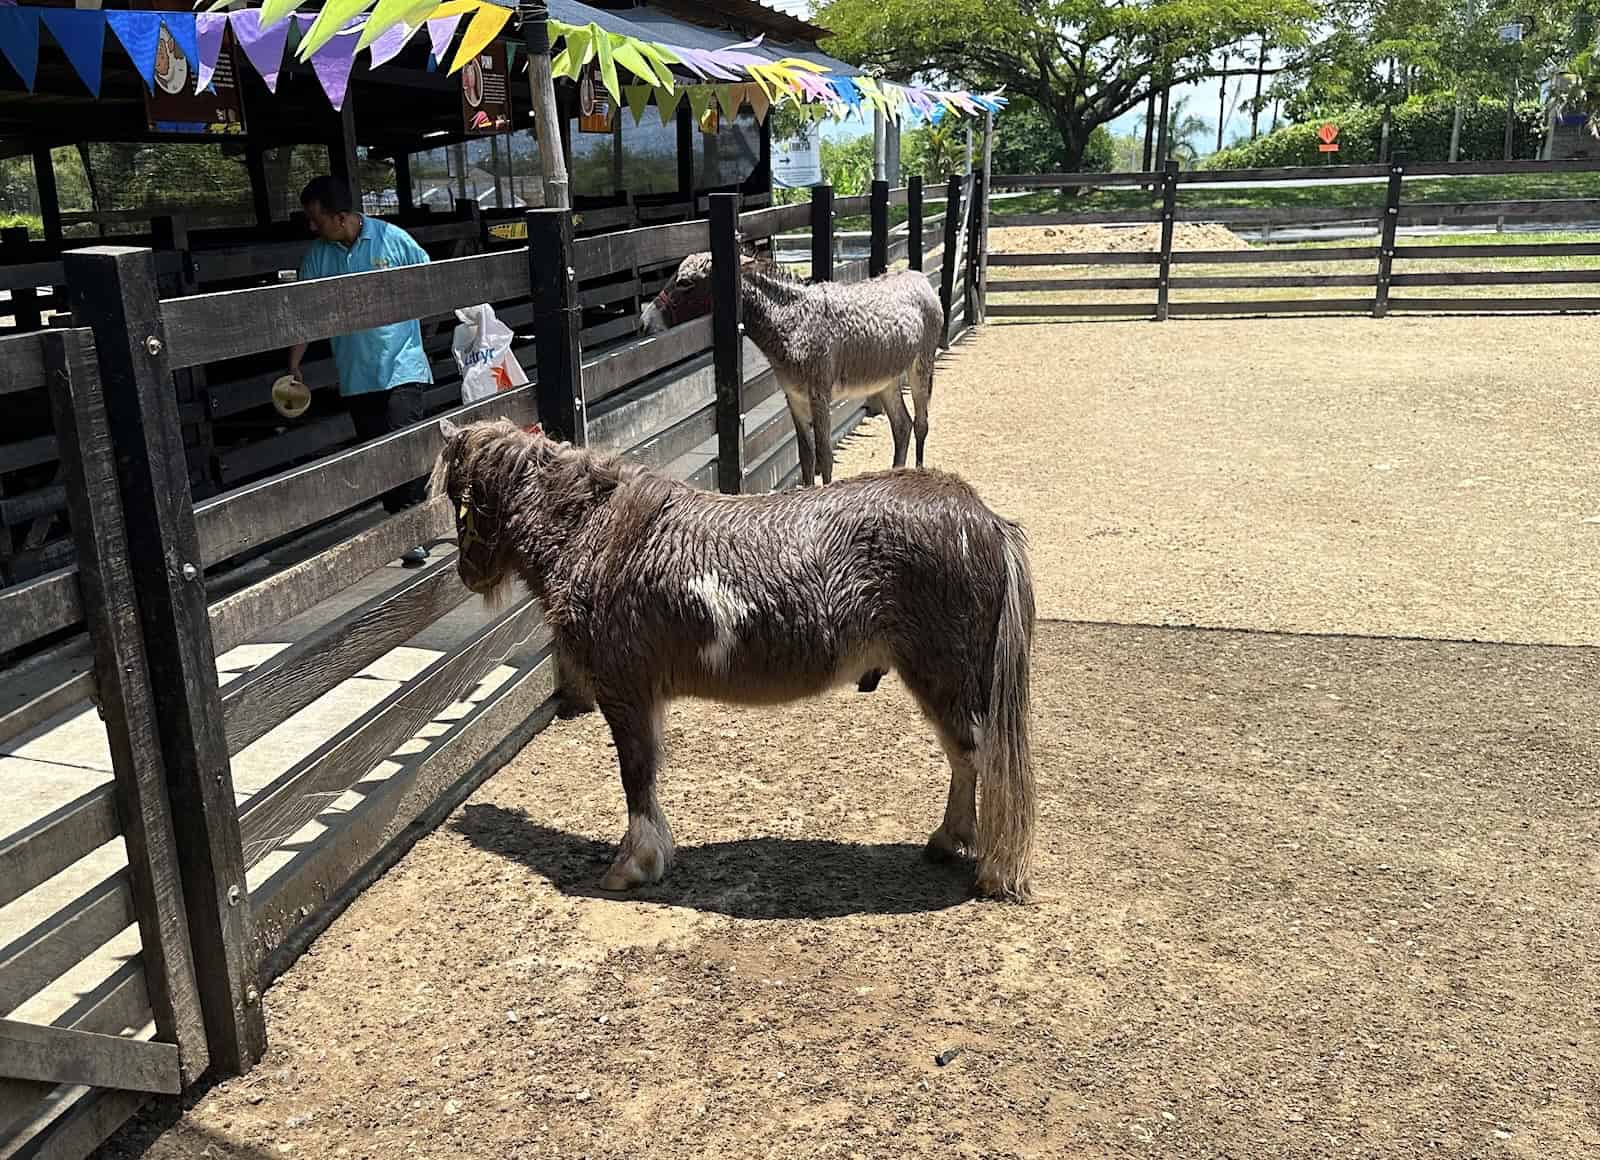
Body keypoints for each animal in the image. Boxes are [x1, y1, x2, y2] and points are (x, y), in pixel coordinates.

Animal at [432, 412, 1043, 896]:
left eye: (459, 501)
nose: (466, 573)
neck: (595, 532)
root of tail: (985, 521)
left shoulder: (625, 689)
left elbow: (635, 773)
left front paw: (633, 865)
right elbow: (644, 771)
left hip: (945, 677)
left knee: (980, 756)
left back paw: (986, 865)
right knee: (966, 758)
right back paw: (949, 843)